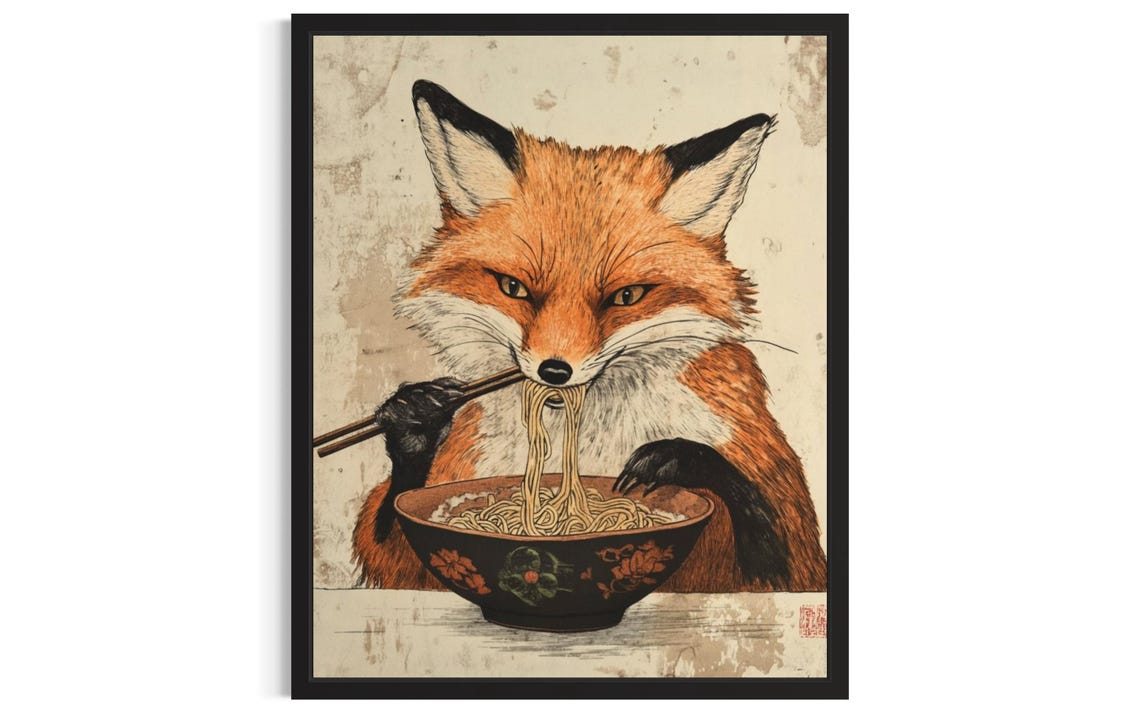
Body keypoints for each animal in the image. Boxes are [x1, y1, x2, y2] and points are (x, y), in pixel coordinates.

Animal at [351, 80, 828, 593]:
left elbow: (770, 541)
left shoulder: (784, 531)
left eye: (626, 296)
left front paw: (675, 459)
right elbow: (396, 537)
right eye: (513, 288)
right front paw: (415, 419)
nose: (554, 371)